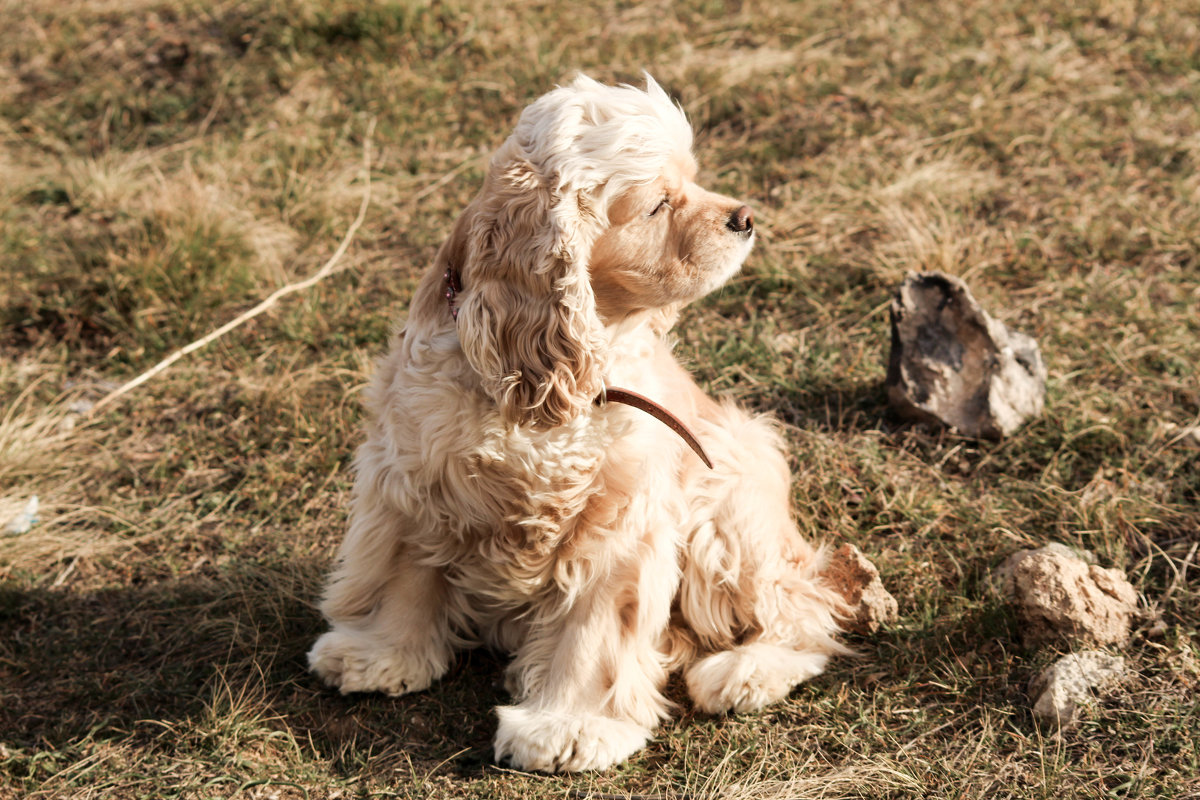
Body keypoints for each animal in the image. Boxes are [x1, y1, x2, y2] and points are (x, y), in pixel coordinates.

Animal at [309, 76, 854, 777]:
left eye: (693, 181)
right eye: (657, 205)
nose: (746, 217)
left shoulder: (618, 516)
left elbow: (595, 627)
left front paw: (568, 727)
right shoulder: (412, 475)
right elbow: (404, 571)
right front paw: (379, 654)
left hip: (728, 509)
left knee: (807, 605)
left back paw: (744, 671)